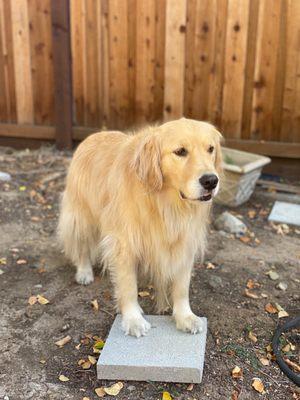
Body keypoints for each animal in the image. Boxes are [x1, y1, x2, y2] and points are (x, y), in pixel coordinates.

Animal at [58, 118, 223, 338]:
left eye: (210, 149)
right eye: (180, 151)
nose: (211, 181)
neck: (165, 203)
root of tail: (95, 134)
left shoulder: (184, 241)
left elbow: (181, 286)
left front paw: (185, 316)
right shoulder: (124, 243)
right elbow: (128, 285)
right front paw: (133, 319)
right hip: (82, 216)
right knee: (82, 245)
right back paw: (84, 272)